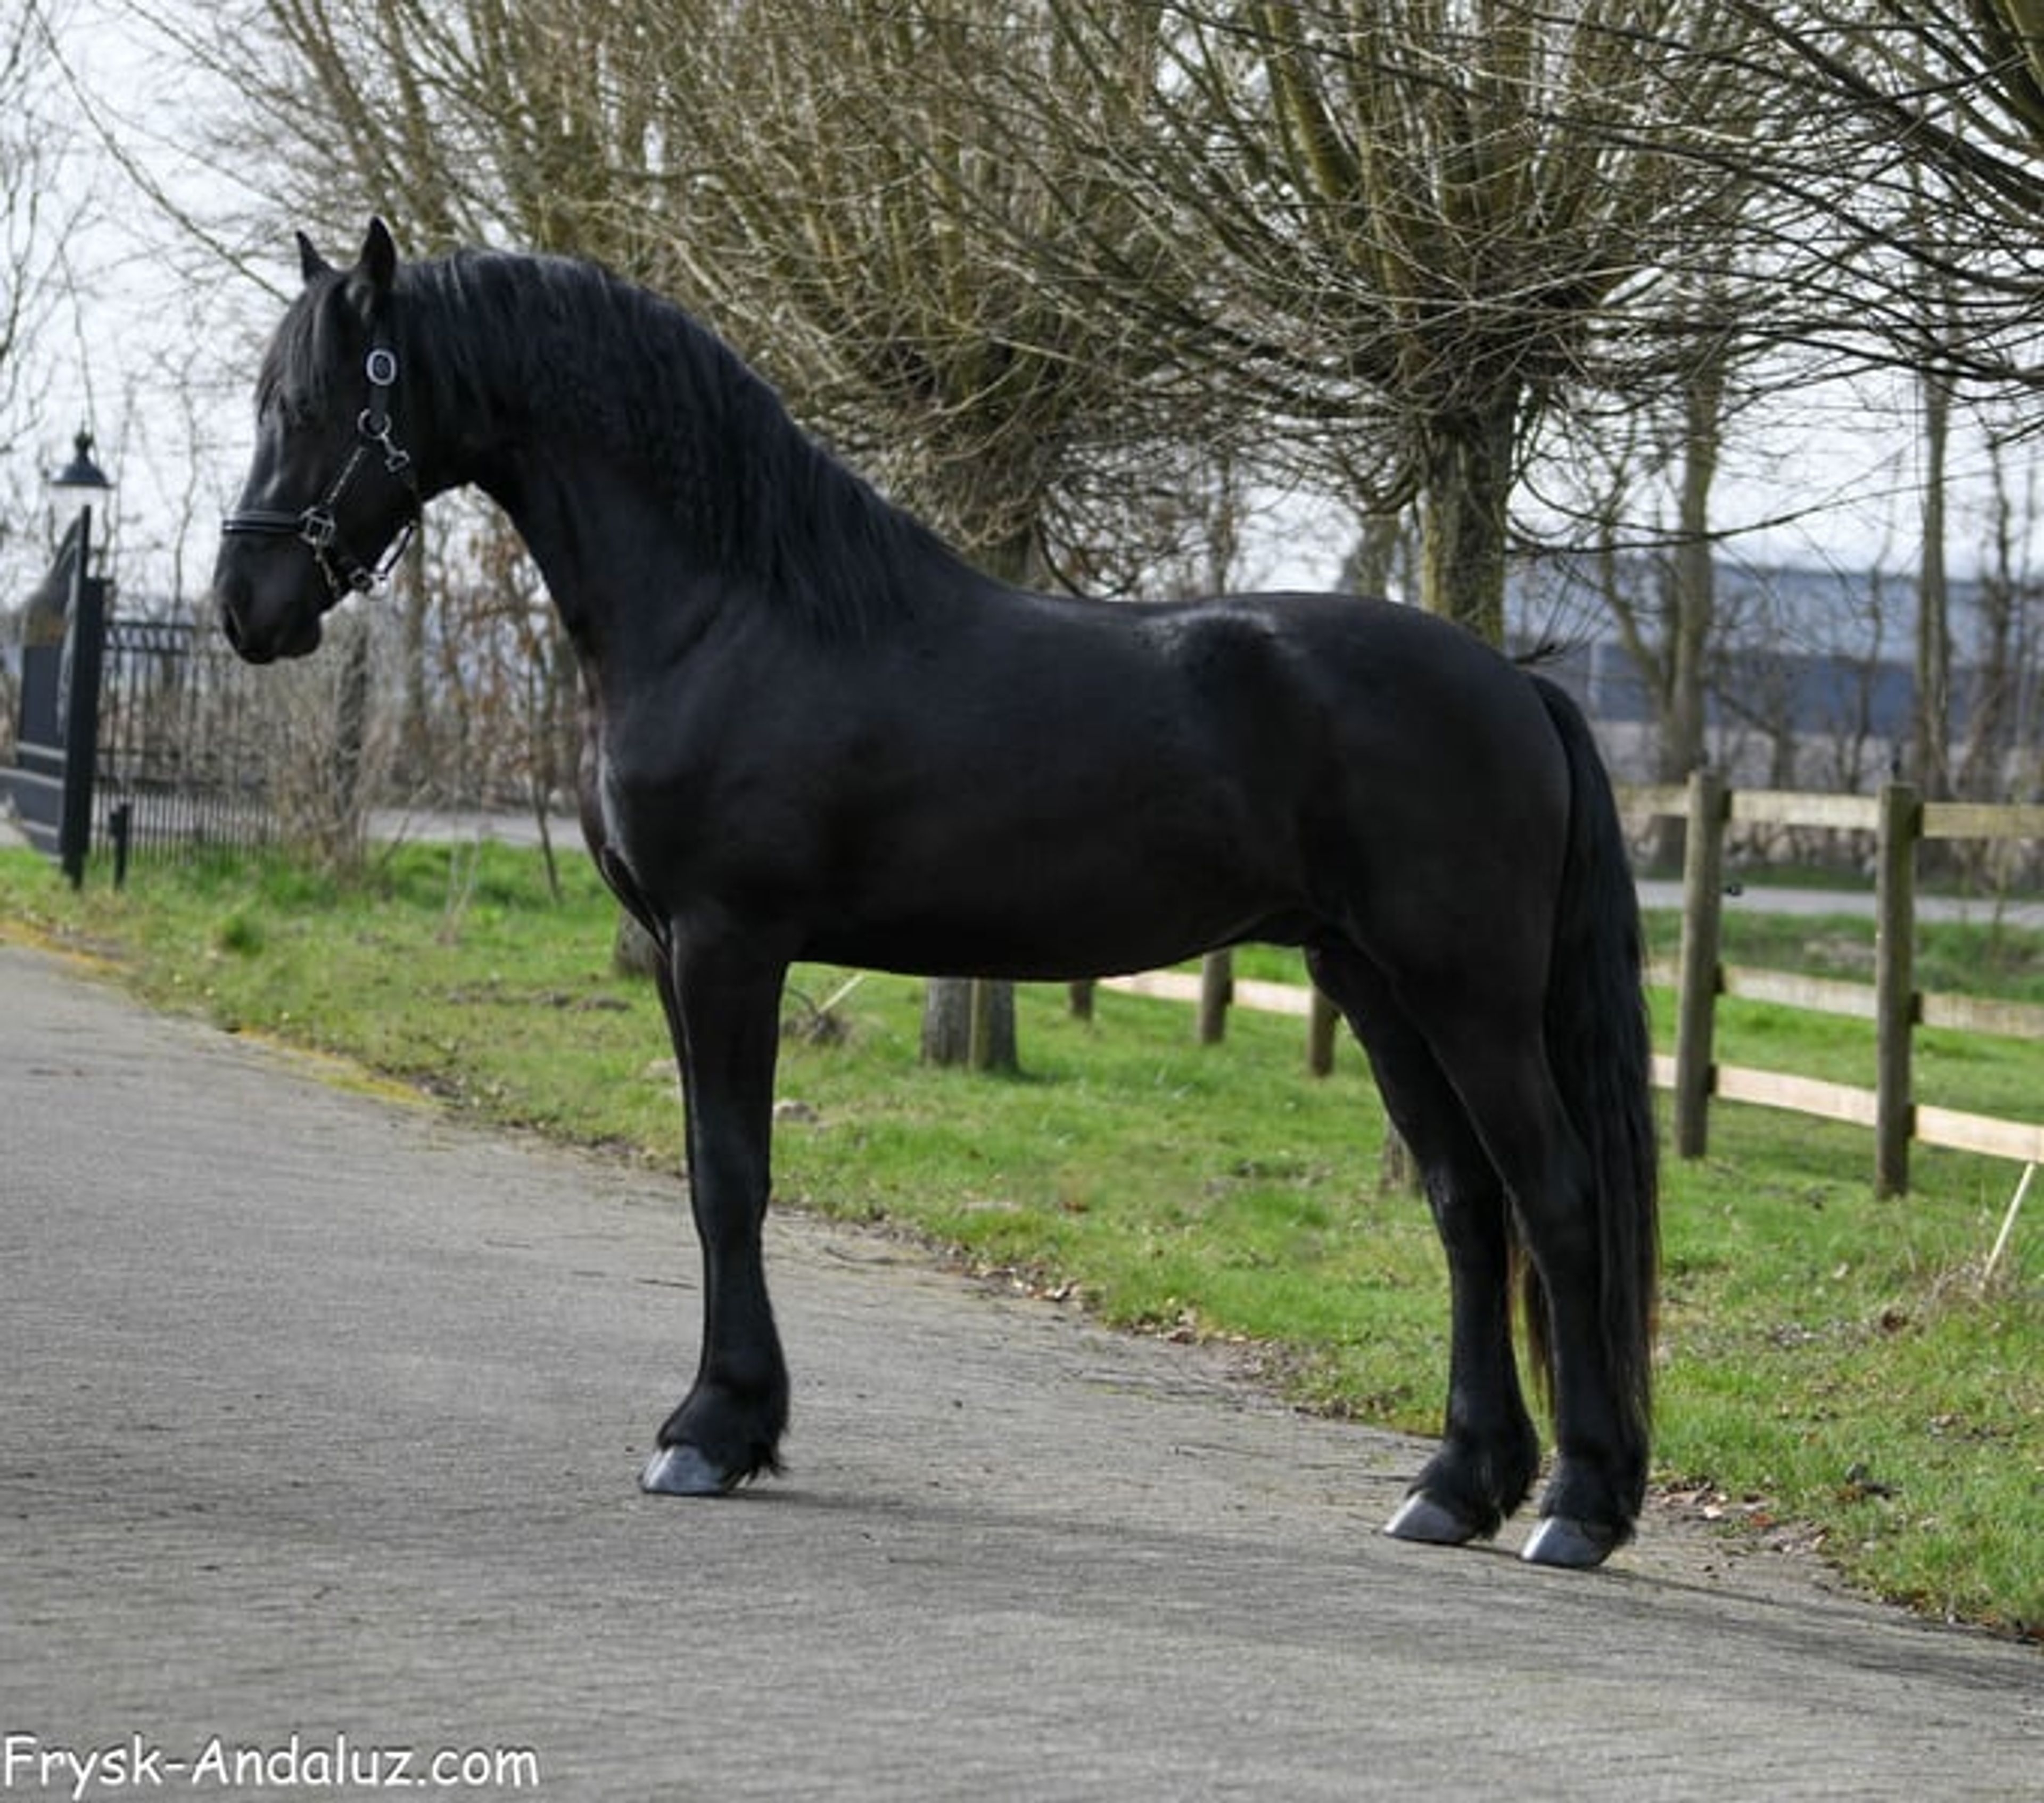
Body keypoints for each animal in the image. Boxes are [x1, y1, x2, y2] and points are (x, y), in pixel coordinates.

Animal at [214, 220, 1658, 1569]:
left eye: (324, 403)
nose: (245, 607)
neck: (728, 614)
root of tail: (1516, 684)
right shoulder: (677, 949)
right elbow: (704, 1166)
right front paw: (728, 1421)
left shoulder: (726, 944)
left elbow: (729, 1176)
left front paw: (712, 1431)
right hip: (1371, 981)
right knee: (1466, 1207)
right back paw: (1454, 1487)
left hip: (1464, 994)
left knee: (1556, 1198)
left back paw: (1578, 1505)